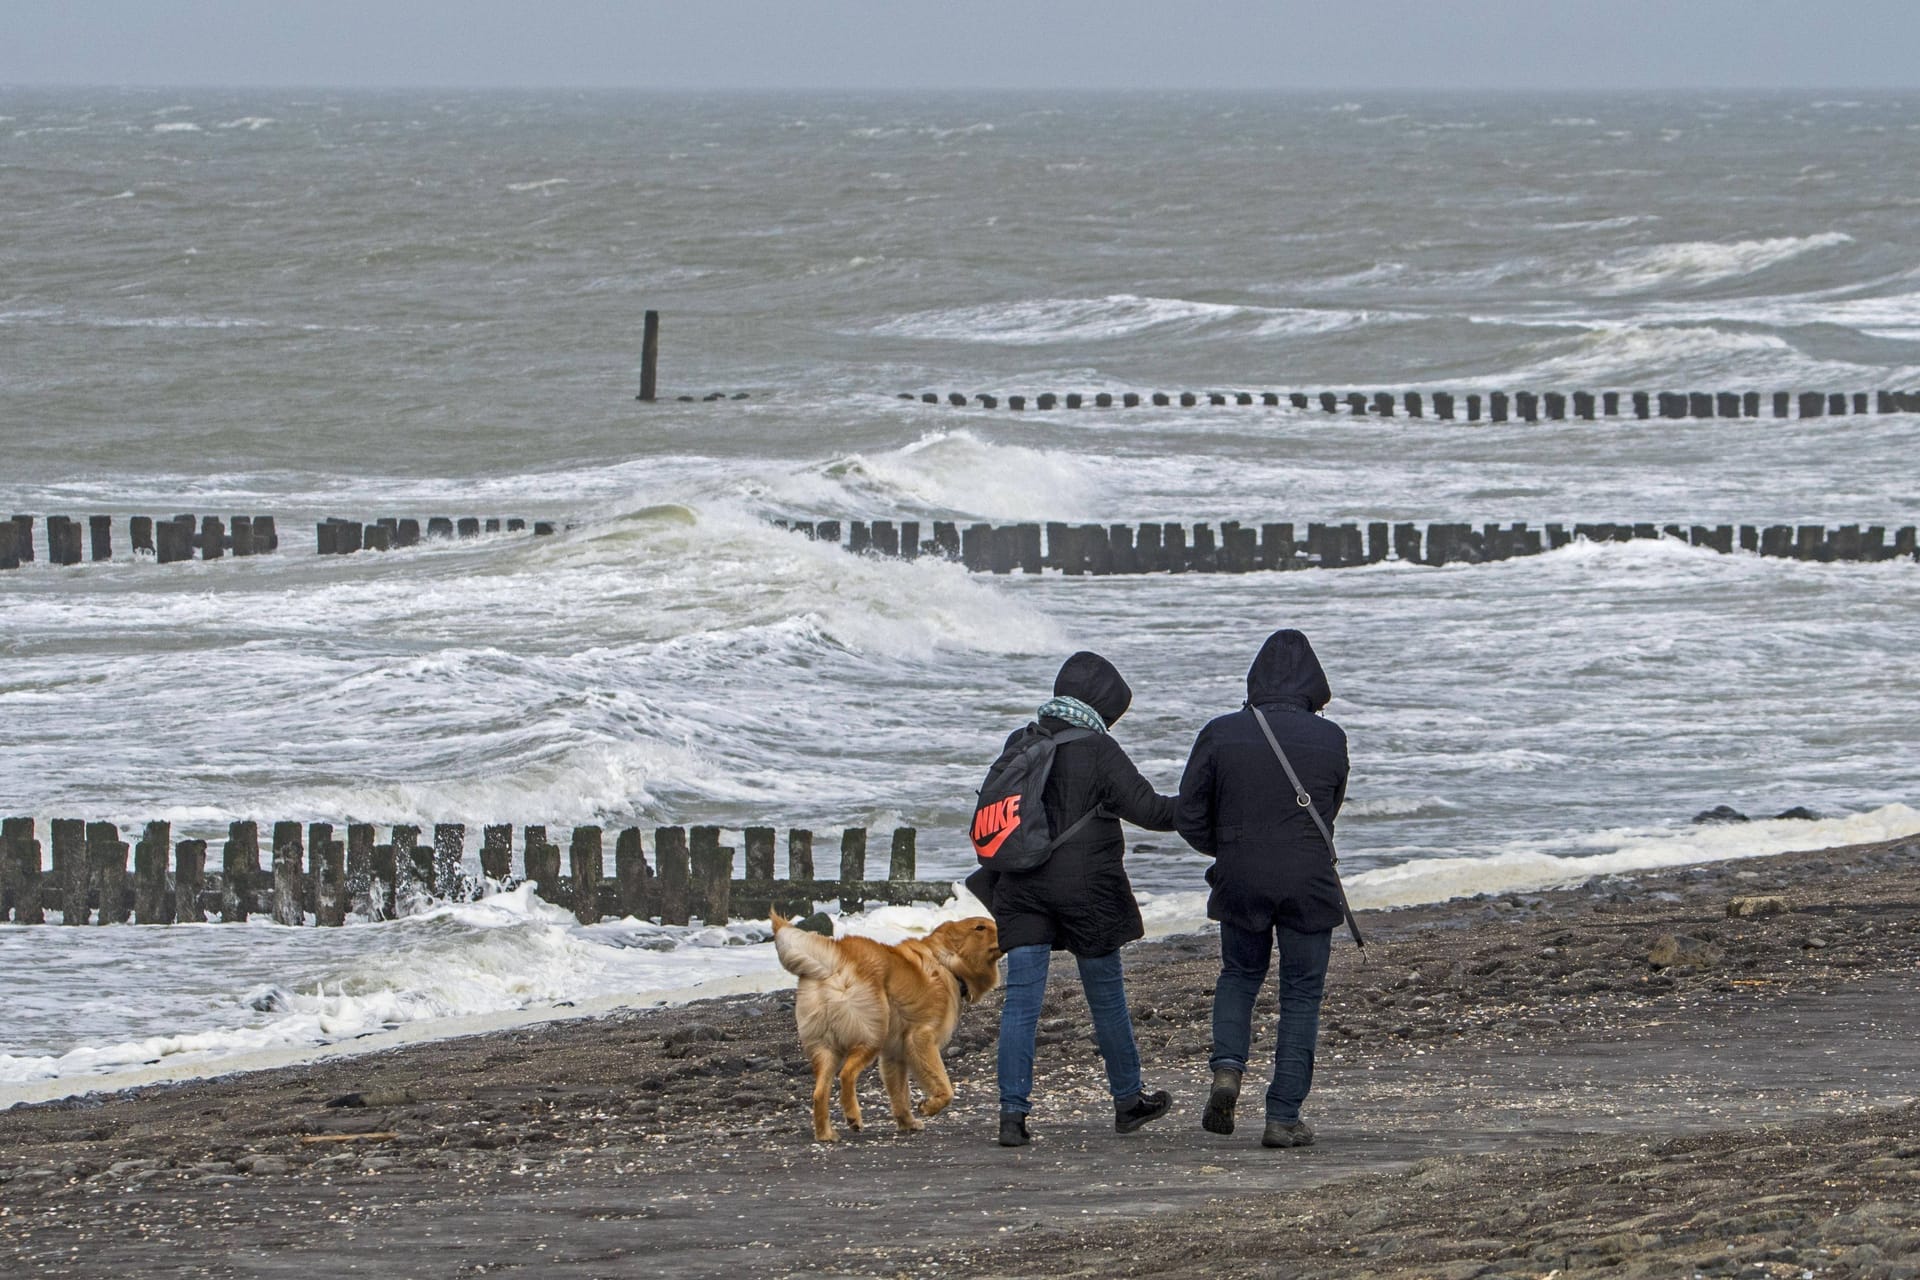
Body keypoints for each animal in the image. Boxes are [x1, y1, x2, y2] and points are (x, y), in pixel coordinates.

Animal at [768, 909, 1006, 1143]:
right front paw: (929, 1107)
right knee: (847, 1074)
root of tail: (833, 964)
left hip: (826, 1048)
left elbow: (900, 1094)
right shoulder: (920, 1038)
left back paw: (825, 1134)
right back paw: (853, 1116)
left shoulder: (895, 1054)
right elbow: (945, 1088)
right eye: (980, 927)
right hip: (872, 1035)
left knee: (819, 1092)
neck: (945, 962)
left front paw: (907, 1122)